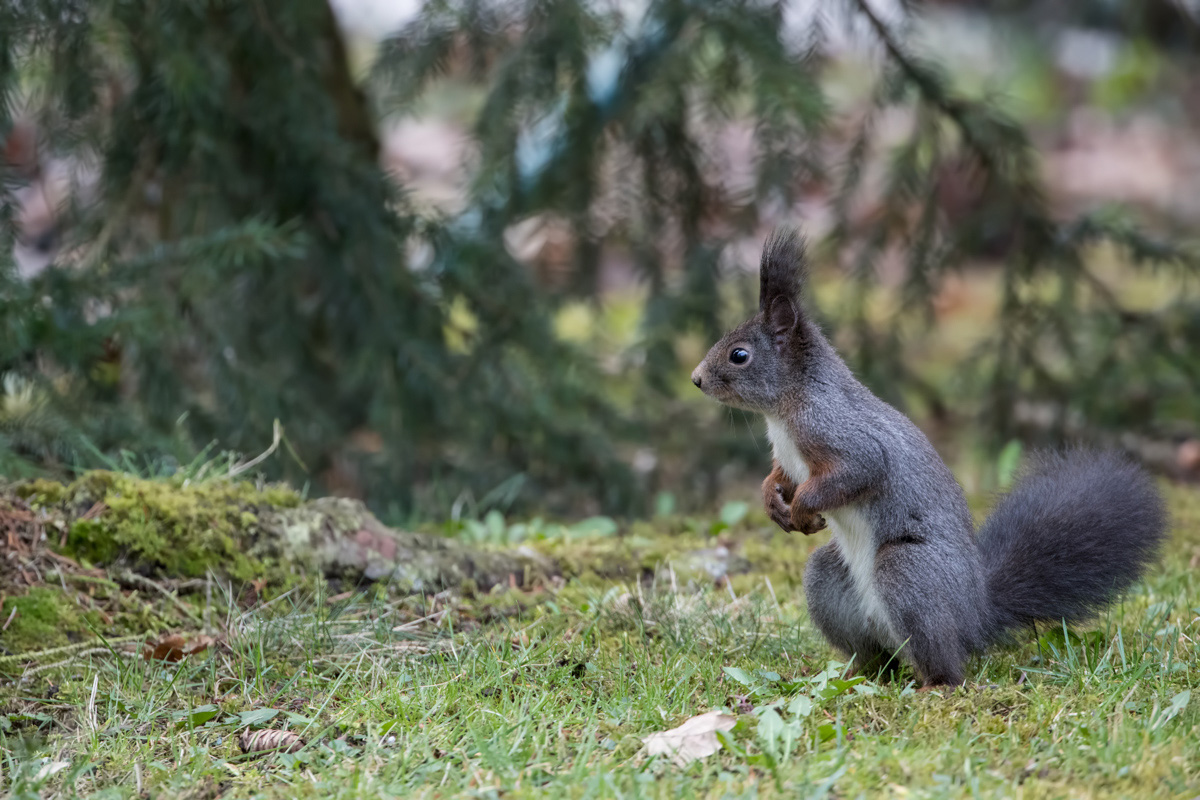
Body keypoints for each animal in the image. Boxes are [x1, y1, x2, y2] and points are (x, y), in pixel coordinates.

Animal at [691, 225, 1166, 690]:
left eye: (739, 355)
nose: (695, 380)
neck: (784, 410)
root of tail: (975, 618)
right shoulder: (791, 457)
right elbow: (781, 476)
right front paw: (772, 500)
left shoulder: (843, 435)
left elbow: (857, 472)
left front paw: (804, 510)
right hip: (830, 583)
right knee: (876, 656)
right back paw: (852, 676)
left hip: (908, 571)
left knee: (945, 664)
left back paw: (933, 686)